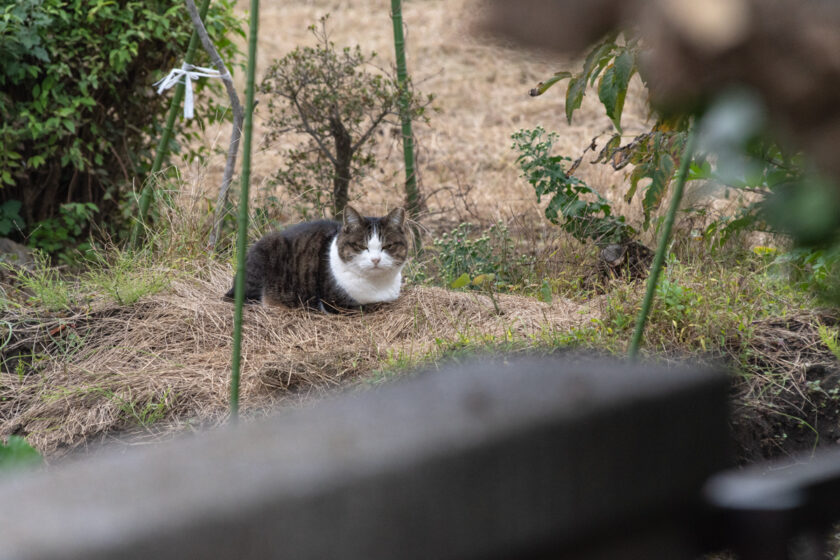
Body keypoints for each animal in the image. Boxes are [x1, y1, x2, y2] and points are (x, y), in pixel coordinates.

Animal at [221, 206, 408, 310]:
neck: (377, 285)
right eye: (362, 247)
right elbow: (374, 306)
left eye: (387, 246)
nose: (376, 260)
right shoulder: (337, 303)